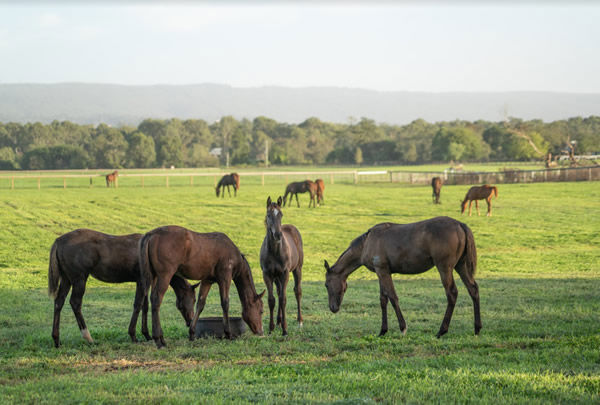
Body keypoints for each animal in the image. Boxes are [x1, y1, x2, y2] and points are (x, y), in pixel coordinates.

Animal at [48, 229, 197, 346]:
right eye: (193, 299)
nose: (190, 321)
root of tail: (58, 241)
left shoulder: (146, 282)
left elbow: (145, 305)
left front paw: (146, 334)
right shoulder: (141, 281)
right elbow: (138, 305)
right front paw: (133, 335)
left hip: (67, 279)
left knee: (59, 302)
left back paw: (56, 340)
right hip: (79, 279)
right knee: (75, 303)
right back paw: (88, 337)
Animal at [258, 196, 302, 334]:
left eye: (281, 214)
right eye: (268, 215)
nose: (278, 235)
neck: (275, 251)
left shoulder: (285, 273)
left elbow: (283, 299)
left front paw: (285, 329)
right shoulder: (267, 274)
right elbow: (272, 299)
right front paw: (271, 328)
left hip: (298, 269)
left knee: (297, 291)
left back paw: (300, 321)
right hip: (276, 276)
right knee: (278, 292)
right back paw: (278, 321)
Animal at [324, 218, 482, 338]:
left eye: (326, 284)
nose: (333, 308)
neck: (367, 242)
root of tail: (460, 225)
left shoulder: (383, 271)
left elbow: (393, 298)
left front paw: (403, 328)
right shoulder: (381, 272)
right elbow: (383, 300)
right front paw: (383, 331)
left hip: (444, 268)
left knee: (452, 293)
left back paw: (441, 331)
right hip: (461, 266)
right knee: (473, 289)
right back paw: (477, 328)